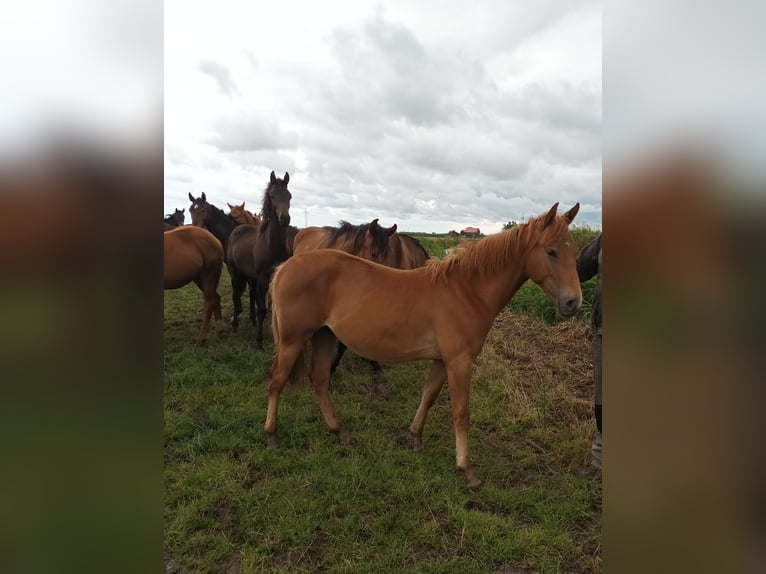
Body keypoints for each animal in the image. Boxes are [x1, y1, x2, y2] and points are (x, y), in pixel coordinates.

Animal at [226, 170, 292, 352]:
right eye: (272, 196)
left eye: (289, 196)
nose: (285, 219)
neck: (272, 245)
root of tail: (236, 230)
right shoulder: (262, 278)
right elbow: (262, 309)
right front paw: (259, 342)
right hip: (234, 272)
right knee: (235, 295)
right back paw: (234, 326)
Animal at [264, 202, 584, 490]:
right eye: (551, 251)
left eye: (575, 252)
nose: (573, 303)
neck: (467, 290)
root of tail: (284, 267)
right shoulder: (459, 361)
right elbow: (461, 412)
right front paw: (467, 470)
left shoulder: (442, 361)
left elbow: (428, 396)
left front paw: (415, 438)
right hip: (293, 340)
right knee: (277, 381)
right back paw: (272, 434)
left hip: (324, 337)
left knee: (319, 380)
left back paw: (339, 431)